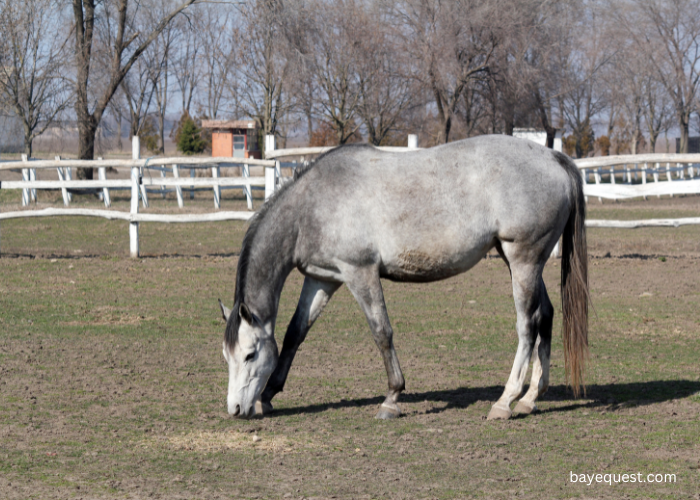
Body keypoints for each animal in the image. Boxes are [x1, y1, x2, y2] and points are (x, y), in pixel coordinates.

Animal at [219, 135, 584, 420]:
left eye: (250, 354)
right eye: (227, 356)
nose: (235, 409)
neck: (314, 204)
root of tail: (553, 158)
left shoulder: (360, 273)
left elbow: (382, 332)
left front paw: (392, 398)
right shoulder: (323, 278)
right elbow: (295, 333)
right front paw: (269, 395)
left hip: (523, 261)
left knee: (527, 326)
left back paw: (505, 402)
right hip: (523, 263)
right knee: (546, 316)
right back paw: (530, 398)